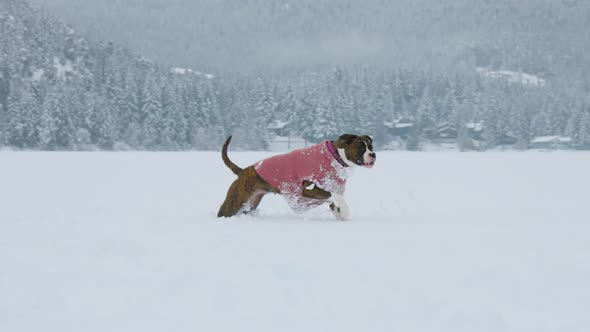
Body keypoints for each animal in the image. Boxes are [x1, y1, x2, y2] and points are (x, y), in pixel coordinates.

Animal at [219, 134, 380, 219]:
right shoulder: (308, 190)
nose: (373, 154)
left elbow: (336, 203)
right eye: (361, 148)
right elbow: (338, 197)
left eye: (371, 147)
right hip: (233, 203)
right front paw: (346, 210)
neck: (335, 157)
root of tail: (243, 171)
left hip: (250, 203)